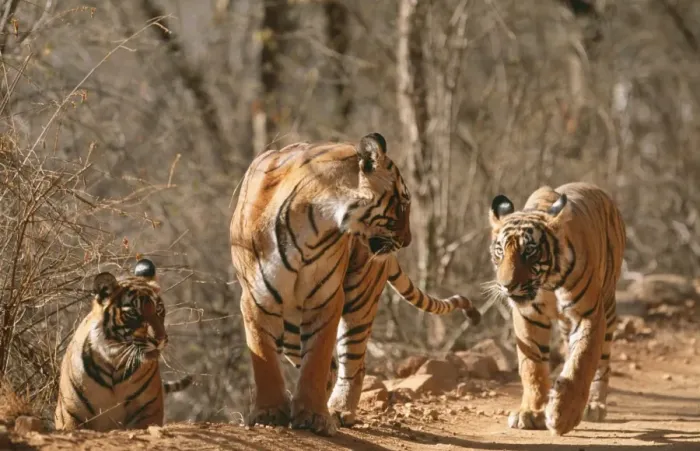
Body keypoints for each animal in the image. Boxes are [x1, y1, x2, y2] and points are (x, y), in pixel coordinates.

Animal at [55, 259, 193, 432]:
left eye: (159, 309)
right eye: (133, 312)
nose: (160, 339)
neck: (114, 358)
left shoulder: (148, 411)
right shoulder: (71, 414)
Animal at [229, 132, 481, 436]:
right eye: (403, 203)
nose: (408, 241)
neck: (315, 221)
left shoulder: (326, 297)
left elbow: (316, 360)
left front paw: (314, 417)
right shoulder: (257, 297)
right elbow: (264, 357)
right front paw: (270, 413)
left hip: (360, 296)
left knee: (353, 364)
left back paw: (338, 410)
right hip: (291, 326)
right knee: (330, 365)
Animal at [487, 182, 626, 436]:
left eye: (529, 251)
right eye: (500, 250)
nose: (506, 285)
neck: (547, 283)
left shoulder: (588, 314)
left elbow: (582, 362)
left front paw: (564, 416)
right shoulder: (528, 316)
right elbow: (532, 366)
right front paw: (530, 413)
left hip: (608, 306)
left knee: (602, 363)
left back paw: (594, 406)